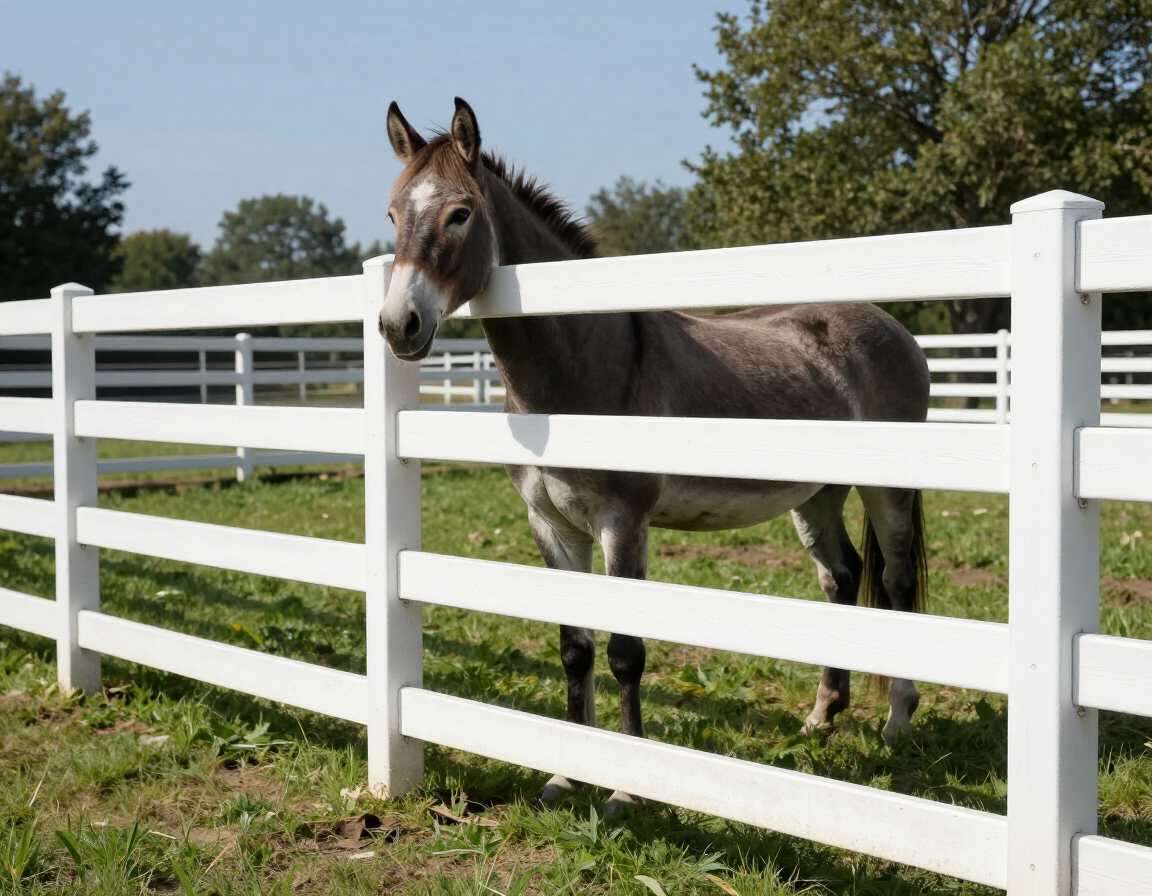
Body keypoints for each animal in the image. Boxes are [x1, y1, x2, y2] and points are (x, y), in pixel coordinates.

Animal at [378, 98, 930, 815]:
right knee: (840, 579)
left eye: (460, 213)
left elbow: (624, 652)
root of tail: (891, 326)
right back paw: (821, 717)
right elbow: (575, 650)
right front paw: (567, 776)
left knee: (898, 582)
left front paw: (626, 788)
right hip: (816, 497)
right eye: (393, 214)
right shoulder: (552, 526)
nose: (398, 326)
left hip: (888, 491)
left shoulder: (623, 523)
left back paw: (897, 722)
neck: (581, 365)